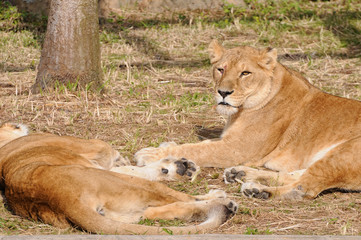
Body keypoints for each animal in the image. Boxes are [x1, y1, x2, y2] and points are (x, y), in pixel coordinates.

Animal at [0, 123, 236, 235]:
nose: (13, 124)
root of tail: (62, 201)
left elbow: (133, 167)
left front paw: (178, 168)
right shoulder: (97, 150)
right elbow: (121, 160)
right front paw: (179, 168)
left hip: (128, 211)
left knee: (168, 210)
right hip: (126, 184)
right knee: (181, 199)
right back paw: (222, 201)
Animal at [135, 39, 360, 201]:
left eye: (245, 73)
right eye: (221, 69)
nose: (223, 92)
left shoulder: (237, 148)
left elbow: (195, 149)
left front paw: (150, 153)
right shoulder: (231, 140)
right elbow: (202, 143)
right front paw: (165, 145)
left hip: (344, 153)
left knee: (304, 187)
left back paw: (258, 190)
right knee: (296, 174)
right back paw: (240, 174)